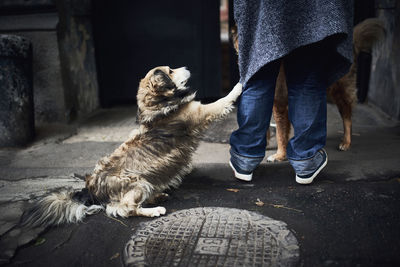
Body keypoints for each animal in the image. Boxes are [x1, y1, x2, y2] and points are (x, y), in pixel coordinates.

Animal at [22, 66, 241, 227]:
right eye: (170, 70)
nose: (187, 67)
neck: (157, 103)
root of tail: (91, 190)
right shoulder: (201, 112)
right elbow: (222, 100)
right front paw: (240, 83)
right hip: (138, 182)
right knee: (125, 208)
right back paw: (154, 210)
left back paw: (157, 196)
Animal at [233, 18, 386, 163]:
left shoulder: (280, 104)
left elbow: (281, 134)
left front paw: (279, 156)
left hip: (339, 91)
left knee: (347, 116)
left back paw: (346, 142)